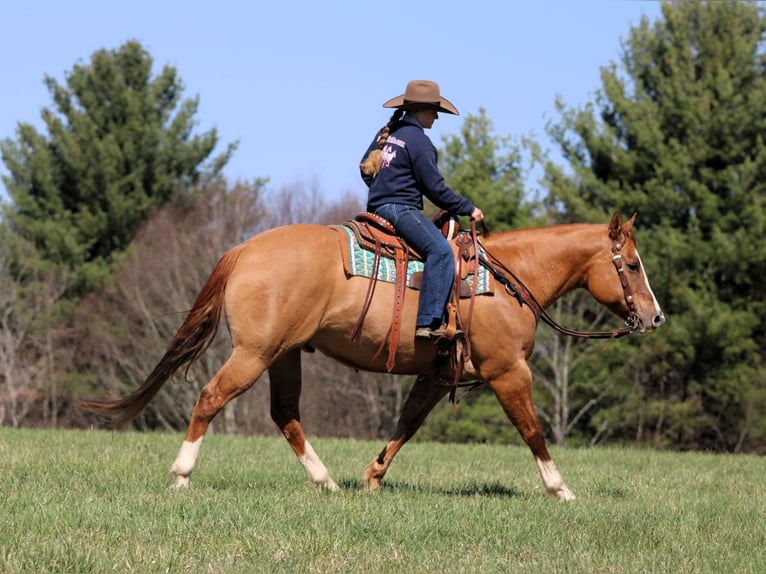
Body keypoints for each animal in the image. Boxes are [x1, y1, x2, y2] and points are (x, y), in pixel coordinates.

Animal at [80, 211, 664, 500]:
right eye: (634, 264)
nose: (655, 317)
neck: (504, 280)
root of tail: (244, 249)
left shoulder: (436, 377)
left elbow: (406, 424)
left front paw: (372, 478)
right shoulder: (507, 372)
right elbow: (532, 431)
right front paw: (559, 488)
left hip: (283, 355)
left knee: (285, 414)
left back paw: (327, 482)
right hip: (254, 353)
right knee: (210, 396)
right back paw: (181, 475)